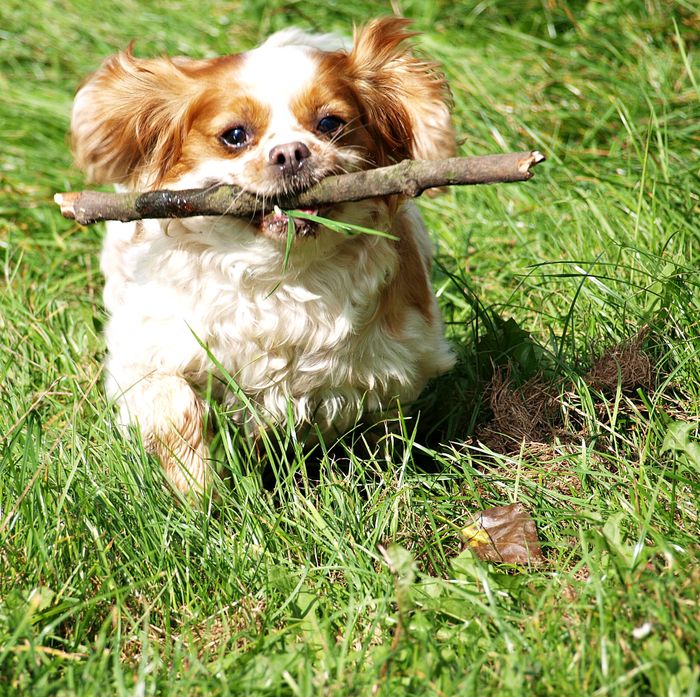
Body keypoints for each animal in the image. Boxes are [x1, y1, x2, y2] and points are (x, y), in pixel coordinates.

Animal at [69, 17, 454, 494]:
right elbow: (175, 407)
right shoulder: (144, 356)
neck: (281, 273)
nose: (291, 152)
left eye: (330, 123)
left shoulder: (396, 367)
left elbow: (383, 435)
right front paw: (198, 491)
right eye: (235, 136)